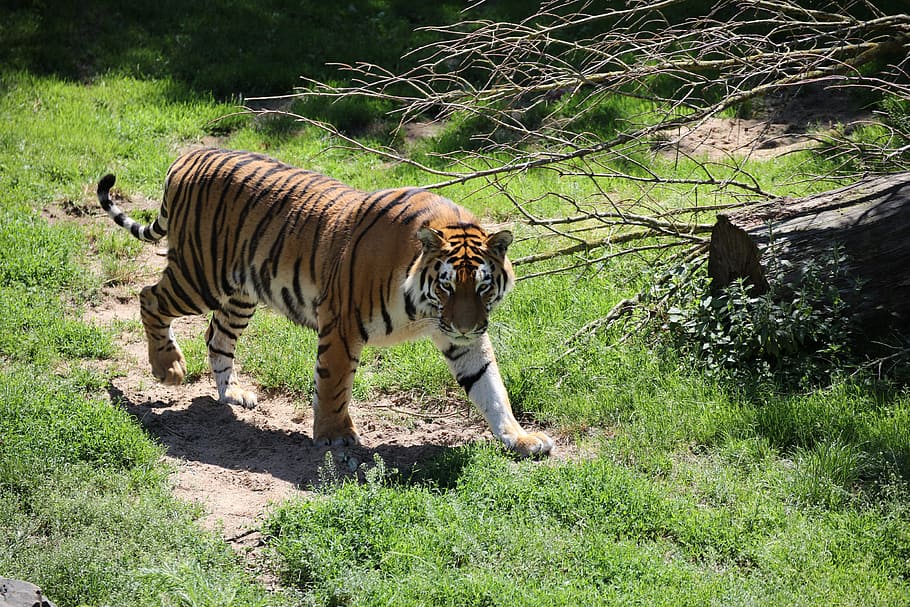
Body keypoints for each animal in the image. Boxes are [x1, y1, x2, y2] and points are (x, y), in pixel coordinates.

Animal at [97, 147, 553, 457]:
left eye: (482, 287)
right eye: (446, 286)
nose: (464, 325)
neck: (426, 310)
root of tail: (189, 154)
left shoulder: (465, 342)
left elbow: (492, 388)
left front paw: (520, 438)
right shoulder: (342, 323)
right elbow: (334, 384)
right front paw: (336, 437)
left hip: (240, 293)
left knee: (216, 336)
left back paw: (234, 393)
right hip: (199, 276)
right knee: (149, 298)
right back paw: (168, 367)